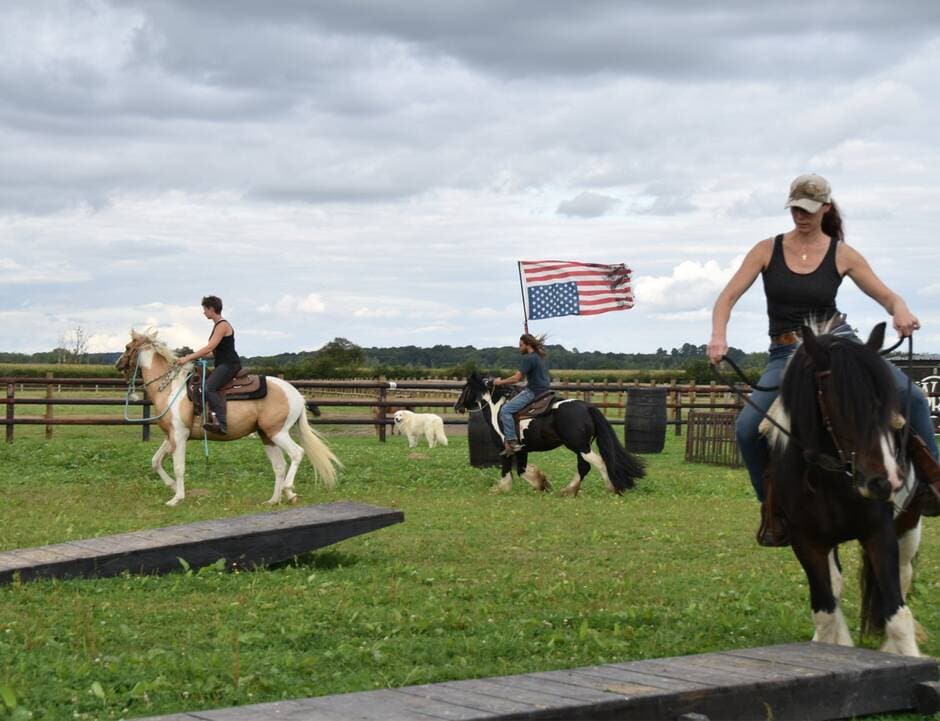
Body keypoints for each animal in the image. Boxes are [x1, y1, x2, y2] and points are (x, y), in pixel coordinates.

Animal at [114, 330, 342, 506]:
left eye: (127, 346)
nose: (117, 364)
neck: (172, 389)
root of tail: (296, 395)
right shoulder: (171, 435)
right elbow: (156, 461)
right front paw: (171, 487)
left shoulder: (179, 435)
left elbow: (179, 467)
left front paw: (177, 498)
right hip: (266, 436)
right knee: (279, 466)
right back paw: (274, 500)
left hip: (278, 432)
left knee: (297, 453)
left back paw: (289, 490)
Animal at [454, 372, 648, 496]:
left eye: (465, 388)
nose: (457, 406)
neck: (498, 410)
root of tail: (587, 407)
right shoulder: (522, 450)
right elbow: (522, 470)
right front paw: (542, 483)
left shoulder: (505, 449)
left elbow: (507, 471)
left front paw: (501, 488)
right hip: (580, 447)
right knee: (584, 467)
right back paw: (569, 490)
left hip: (580, 446)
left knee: (599, 463)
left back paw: (611, 488)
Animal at [764, 324, 924, 656]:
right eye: (841, 405)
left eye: (888, 407)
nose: (885, 482)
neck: (832, 478)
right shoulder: (807, 542)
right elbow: (825, 610)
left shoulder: (879, 532)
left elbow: (898, 614)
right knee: (835, 585)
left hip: (909, 526)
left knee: (904, 576)